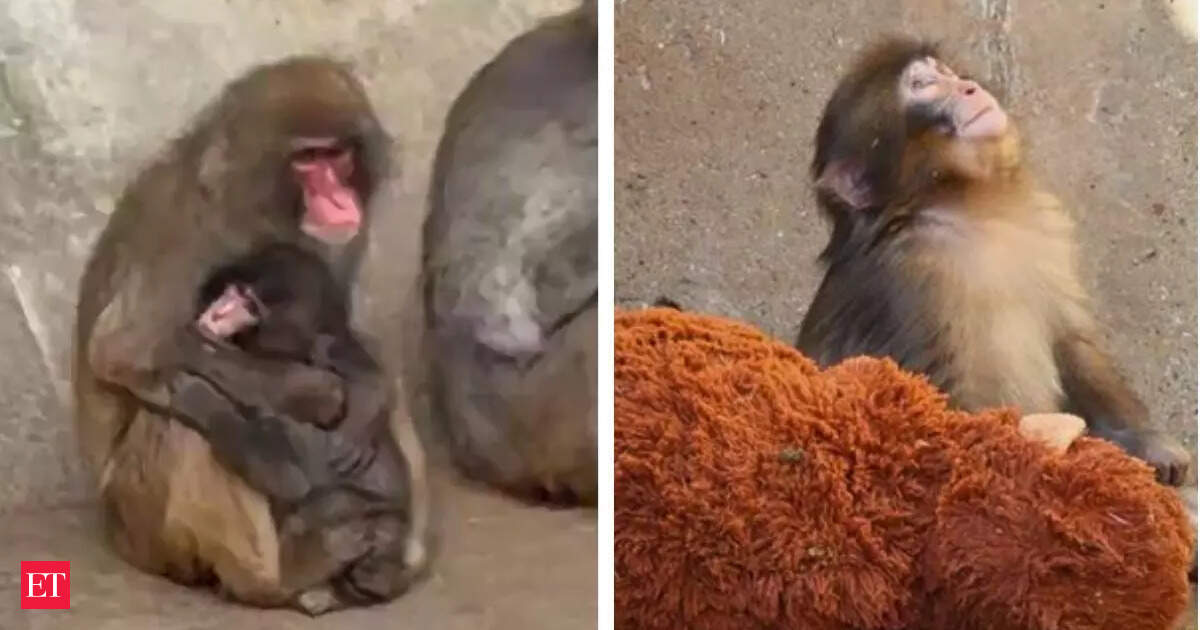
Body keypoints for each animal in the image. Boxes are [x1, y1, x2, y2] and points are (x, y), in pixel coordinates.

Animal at [73, 56, 429, 614]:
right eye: (307, 160)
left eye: (338, 155)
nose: (339, 200)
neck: (251, 207)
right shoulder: (188, 232)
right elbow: (127, 350)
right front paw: (311, 390)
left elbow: (343, 332)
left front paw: (366, 394)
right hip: (140, 525)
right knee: (179, 416)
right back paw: (277, 577)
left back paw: (387, 564)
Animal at [795, 38, 1190, 487]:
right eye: (923, 85)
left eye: (945, 73)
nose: (969, 87)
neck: (966, 207)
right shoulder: (909, 282)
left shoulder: (1044, 228)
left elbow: (1072, 342)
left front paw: (1143, 441)